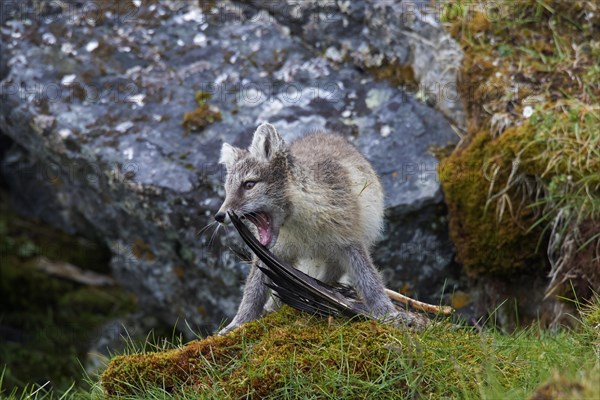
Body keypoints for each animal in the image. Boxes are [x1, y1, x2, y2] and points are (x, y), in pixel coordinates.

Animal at [213, 122, 414, 334]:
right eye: (227, 190)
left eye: (249, 184)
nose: (219, 215)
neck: (301, 225)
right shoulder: (269, 253)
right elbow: (252, 292)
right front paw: (238, 323)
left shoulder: (349, 241)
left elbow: (370, 281)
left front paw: (389, 314)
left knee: (331, 274)